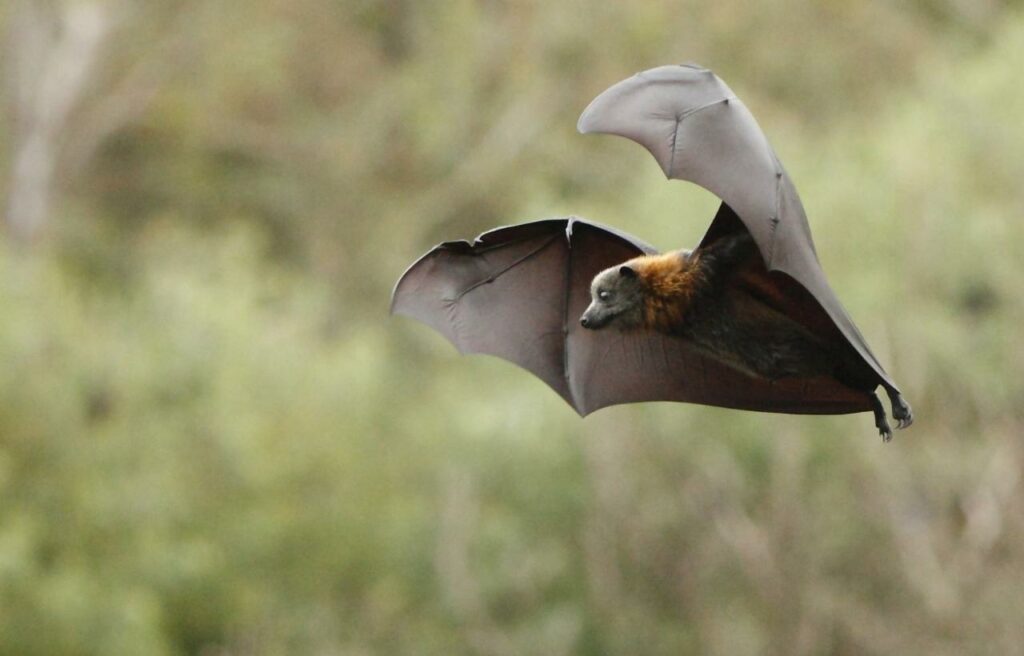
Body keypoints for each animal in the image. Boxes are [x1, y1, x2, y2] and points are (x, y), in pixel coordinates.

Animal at [579, 231, 913, 440]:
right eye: (593, 296)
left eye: (604, 295)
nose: (583, 319)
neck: (658, 297)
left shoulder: (698, 270)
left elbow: (732, 246)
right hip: (832, 367)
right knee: (862, 384)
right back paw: (882, 410)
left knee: (867, 372)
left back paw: (895, 403)